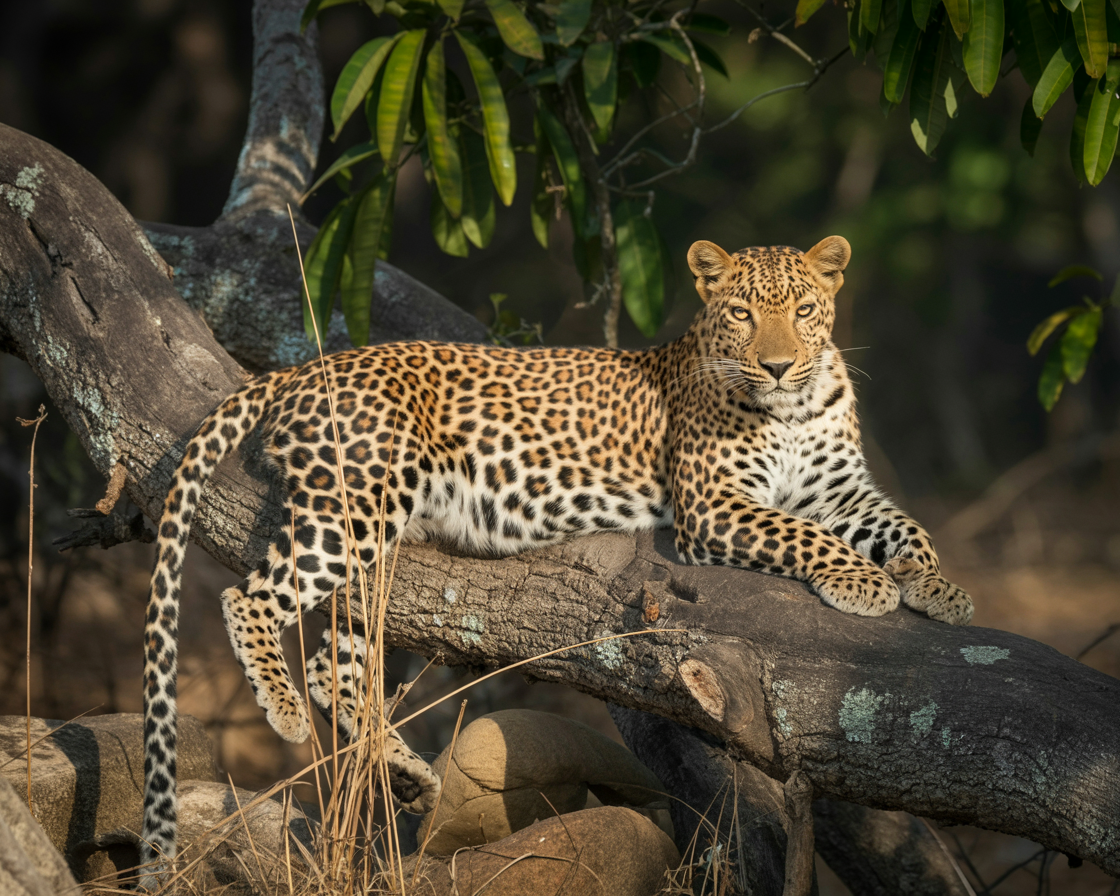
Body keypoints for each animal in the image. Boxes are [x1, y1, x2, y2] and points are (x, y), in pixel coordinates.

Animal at [138, 234, 972, 883]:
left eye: (803, 311)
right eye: (741, 313)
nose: (774, 365)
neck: (794, 407)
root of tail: (303, 369)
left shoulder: (844, 489)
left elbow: (906, 525)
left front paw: (941, 589)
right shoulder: (714, 505)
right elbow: (806, 535)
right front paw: (863, 581)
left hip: (377, 544)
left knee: (332, 664)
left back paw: (407, 771)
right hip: (357, 505)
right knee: (250, 599)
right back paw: (283, 710)